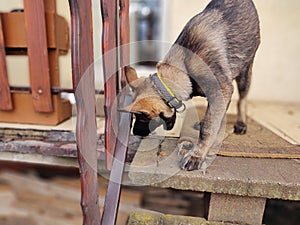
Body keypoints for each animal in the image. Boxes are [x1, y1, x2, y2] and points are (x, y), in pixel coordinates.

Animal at [122, 0, 260, 170]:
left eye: (142, 116)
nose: (135, 133)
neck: (182, 68)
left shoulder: (221, 89)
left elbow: (207, 128)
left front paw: (197, 155)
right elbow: (212, 119)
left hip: (245, 73)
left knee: (242, 100)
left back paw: (241, 123)